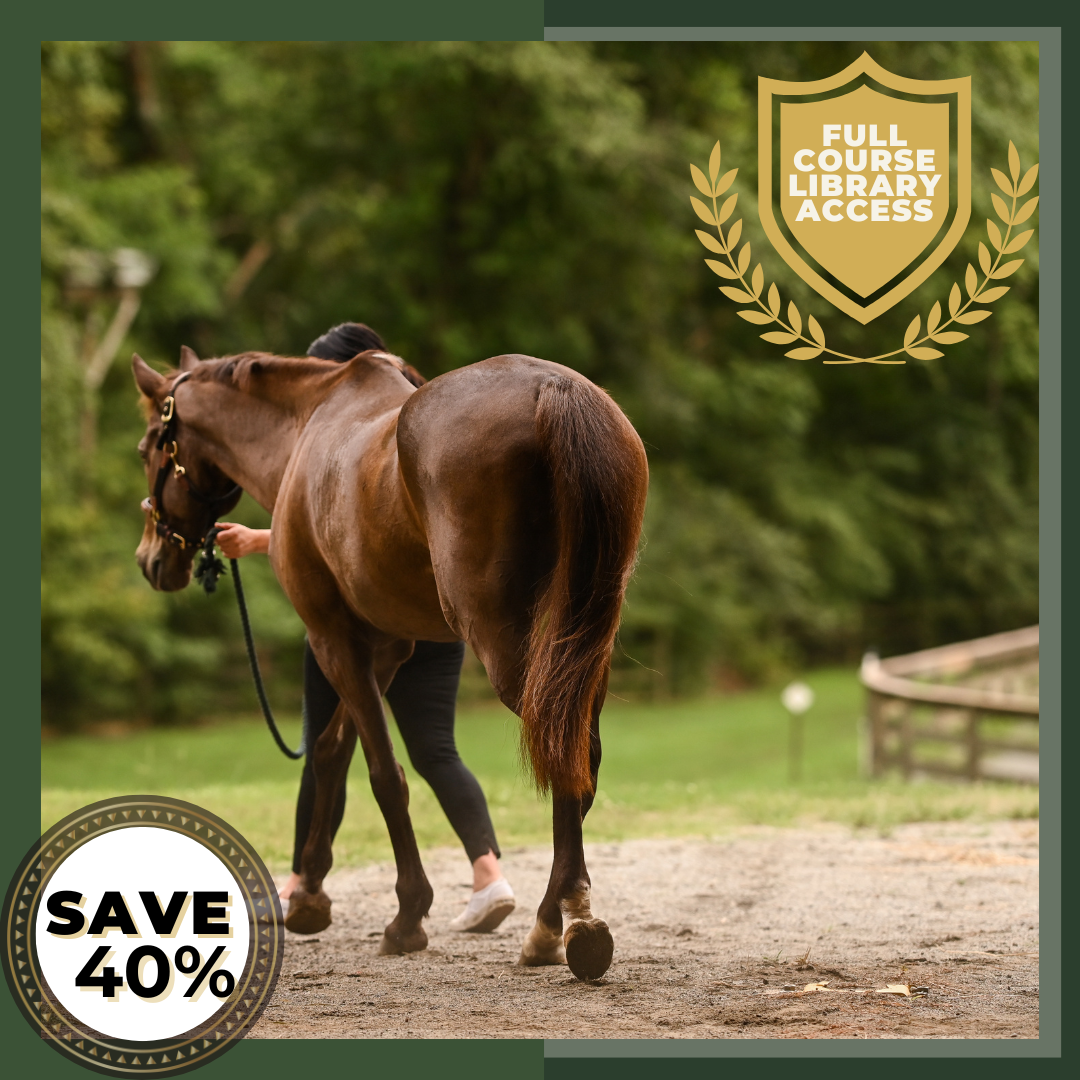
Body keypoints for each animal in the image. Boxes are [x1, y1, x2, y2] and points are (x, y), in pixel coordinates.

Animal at [131, 345, 648, 982]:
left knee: (559, 753)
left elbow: (382, 773)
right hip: (582, 640)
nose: (151, 558)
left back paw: (568, 923)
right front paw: (309, 895)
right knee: (579, 757)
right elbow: (332, 751)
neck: (307, 425)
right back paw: (552, 923)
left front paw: (407, 914)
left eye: (149, 446)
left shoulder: (333, 637)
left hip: (513, 645)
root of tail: (554, 389)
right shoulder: (384, 647)